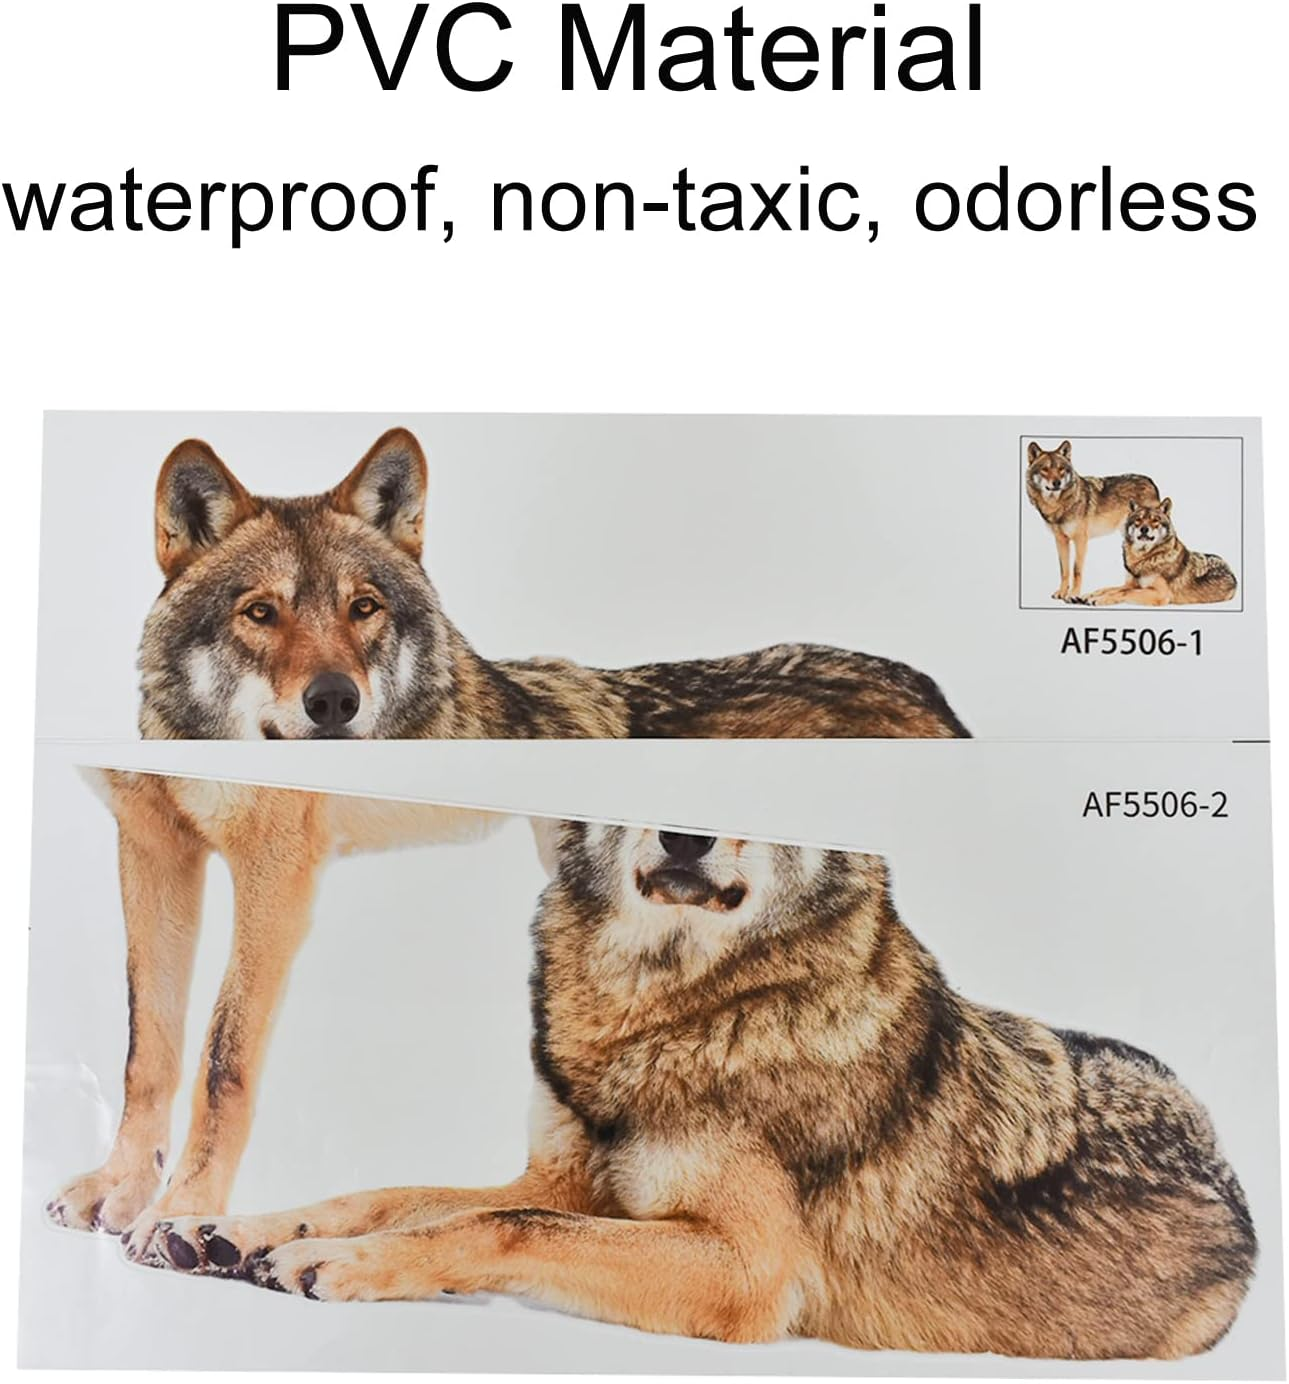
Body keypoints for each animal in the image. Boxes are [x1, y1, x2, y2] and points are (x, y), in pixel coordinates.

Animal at [151, 822, 1255, 1361]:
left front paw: (336, 1263)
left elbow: (498, 1224)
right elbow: (395, 1195)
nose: (685, 834)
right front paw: (232, 1231)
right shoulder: (567, 1179)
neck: (672, 1011)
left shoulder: (747, 1270)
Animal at [1025, 440, 1160, 602]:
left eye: (1061, 469)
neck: (1059, 505)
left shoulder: (1080, 540)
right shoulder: (1060, 540)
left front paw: (1073, 595)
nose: (1057, 483)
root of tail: (1150, 481)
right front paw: (1062, 593)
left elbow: (1076, 570)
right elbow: (1064, 570)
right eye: (1045, 469)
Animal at [1082, 498, 1238, 607]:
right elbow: (1109, 588)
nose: (1144, 529)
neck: (1144, 557)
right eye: (1138, 519)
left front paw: (1099, 600)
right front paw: (1089, 595)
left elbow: (1125, 592)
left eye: (1155, 520)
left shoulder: (1159, 594)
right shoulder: (1130, 584)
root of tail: (1230, 569)